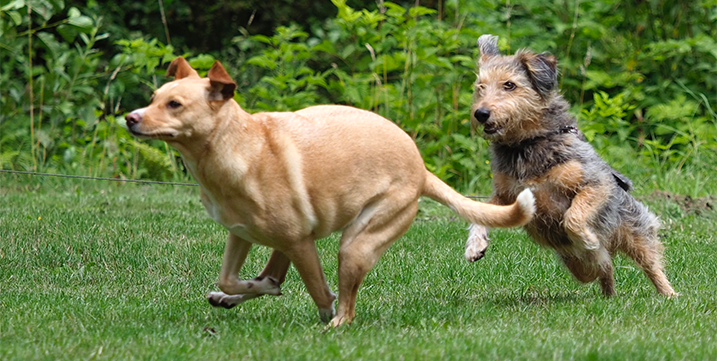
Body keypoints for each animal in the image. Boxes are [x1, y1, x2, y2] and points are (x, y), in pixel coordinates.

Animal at [124, 57, 532, 326]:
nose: (130, 118)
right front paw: (239, 289)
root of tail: (420, 168)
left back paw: (335, 325)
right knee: (271, 274)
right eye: (155, 96)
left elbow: (319, 290)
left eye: (175, 104)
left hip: (356, 244)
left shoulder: (300, 242)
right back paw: (237, 295)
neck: (237, 147)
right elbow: (232, 276)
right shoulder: (242, 234)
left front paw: (323, 310)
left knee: (347, 308)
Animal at [464, 35, 676, 296]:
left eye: (509, 85)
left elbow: (574, 216)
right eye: (480, 87)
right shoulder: (506, 195)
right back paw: (608, 294)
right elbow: (481, 214)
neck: (528, 144)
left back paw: (669, 294)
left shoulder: (596, 182)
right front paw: (475, 245)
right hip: (578, 267)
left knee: (651, 264)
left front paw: (587, 238)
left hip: (637, 233)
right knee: (604, 268)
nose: (480, 113)